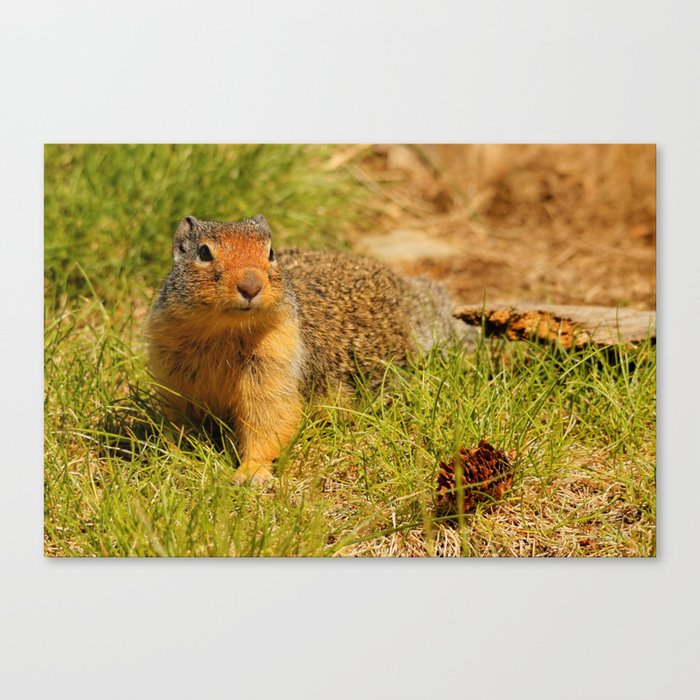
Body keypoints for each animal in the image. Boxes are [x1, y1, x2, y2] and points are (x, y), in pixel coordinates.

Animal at [145, 216, 468, 484]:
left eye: (271, 252)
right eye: (204, 253)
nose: (251, 286)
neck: (223, 331)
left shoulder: (276, 365)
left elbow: (269, 421)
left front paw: (251, 473)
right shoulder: (173, 374)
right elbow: (179, 421)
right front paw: (174, 456)